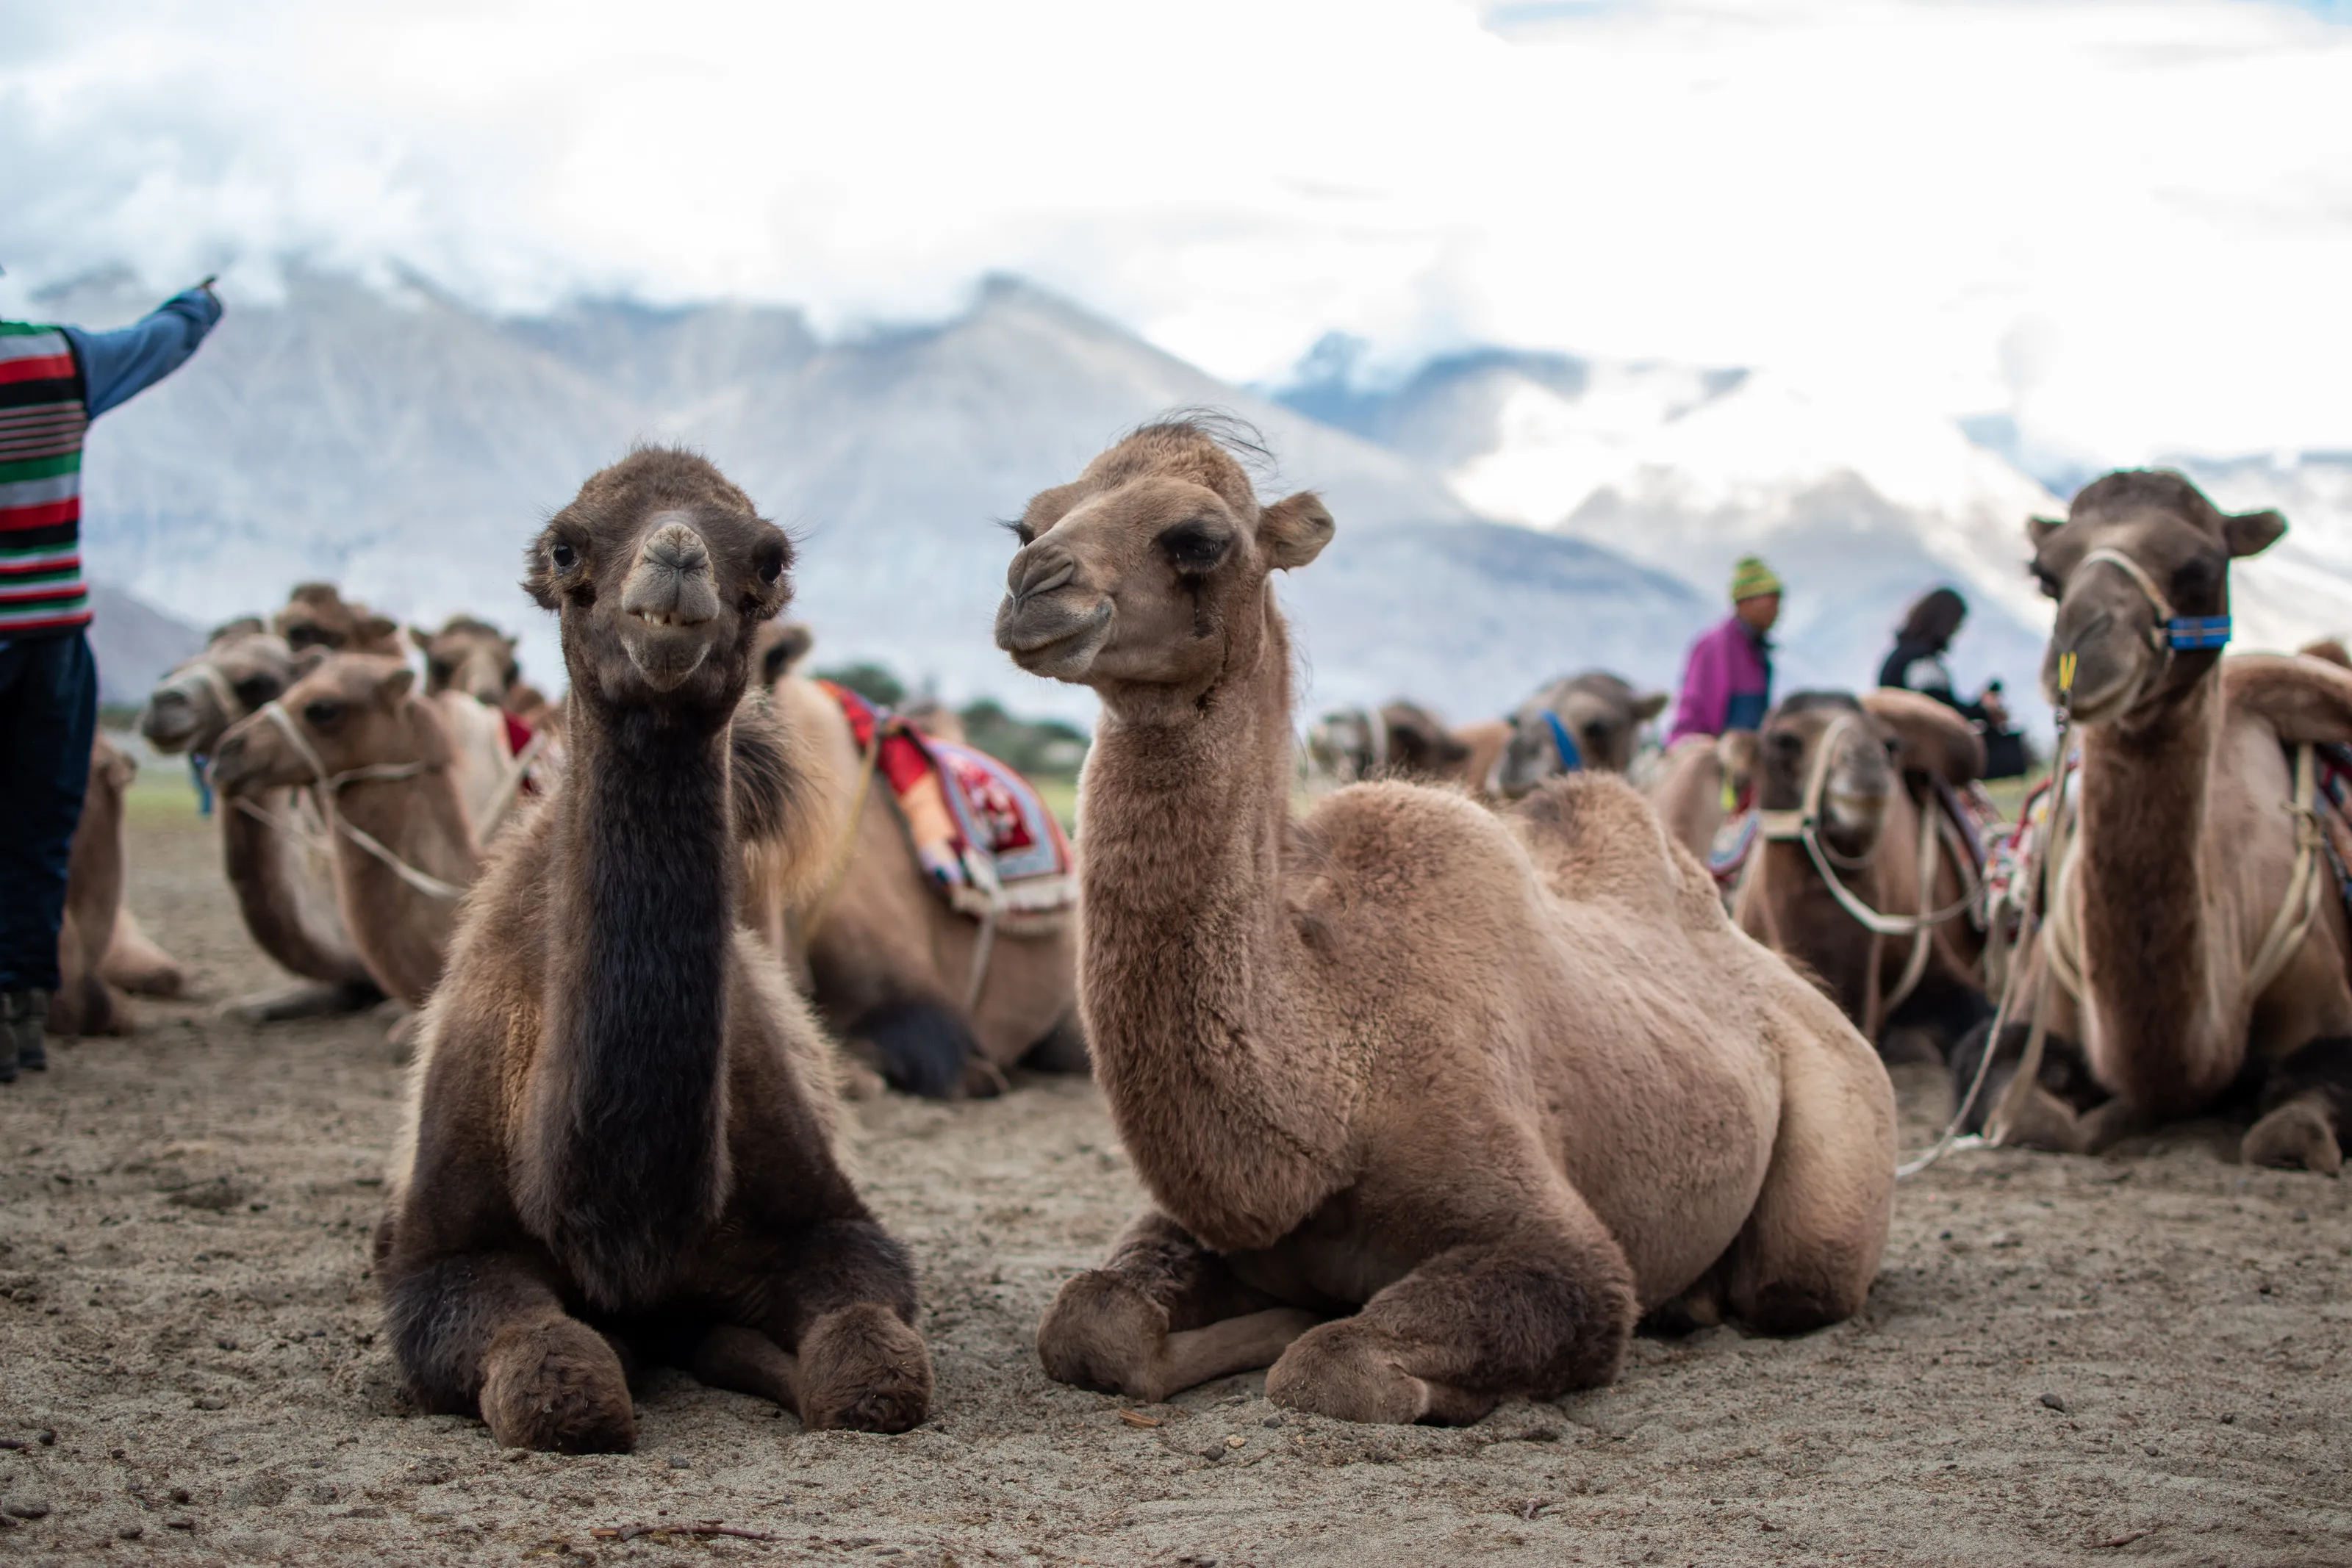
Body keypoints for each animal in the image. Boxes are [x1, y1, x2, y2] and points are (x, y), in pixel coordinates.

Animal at [377, 448, 931, 1450]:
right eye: (565, 547)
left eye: (769, 556)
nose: (674, 560)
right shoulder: (442, 1260)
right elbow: (562, 1386)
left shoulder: (831, 1220)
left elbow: (873, 1368)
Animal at [995, 421, 1893, 1422]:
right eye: (1026, 522)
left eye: (1198, 537)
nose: (1033, 586)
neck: (1339, 1068)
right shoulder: (1199, 1224)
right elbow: (1090, 1319)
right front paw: (1266, 1318)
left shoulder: (1557, 1241)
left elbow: (1333, 1363)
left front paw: (1332, 1340)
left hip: (1835, 1161)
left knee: (1793, 1281)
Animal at [1982, 469, 2352, 1171]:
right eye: (2046, 575)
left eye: (2201, 566)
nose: (2079, 649)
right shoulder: (2024, 1024)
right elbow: (2033, 1125)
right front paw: (2110, 1120)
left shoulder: (2327, 1030)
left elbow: (2286, 1136)